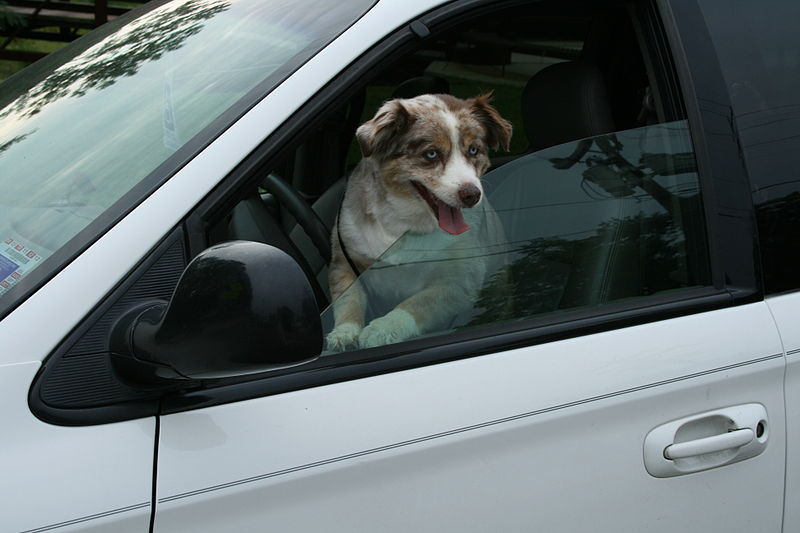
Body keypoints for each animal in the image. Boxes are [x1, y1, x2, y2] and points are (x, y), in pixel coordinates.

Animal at [324, 93, 512, 352]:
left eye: (474, 150)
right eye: (431, 154)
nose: (472, 195)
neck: (405, 223)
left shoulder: (461, 280)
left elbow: (418, 302)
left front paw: (383, 329)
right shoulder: (343, 260)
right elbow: (349, 298)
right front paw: (344, 332)